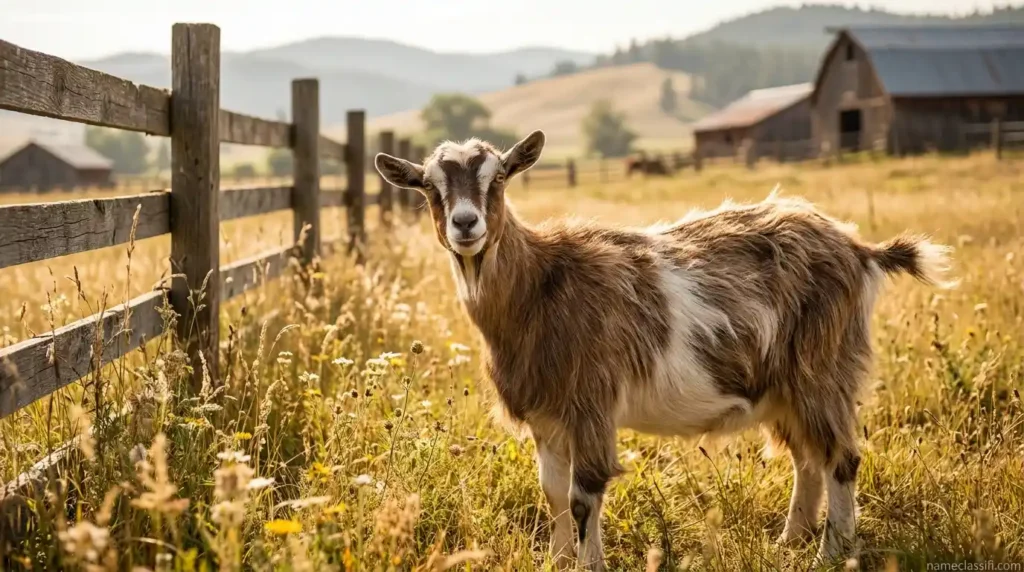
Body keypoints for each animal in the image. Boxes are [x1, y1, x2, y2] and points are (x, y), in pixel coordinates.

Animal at [375, 131, 954, 571]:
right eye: (429, 187)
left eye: (498, 179)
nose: (466, 224)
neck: (540, 286)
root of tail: (859, 248)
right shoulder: (546, 413)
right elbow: (553, 492)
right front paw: (557, 561)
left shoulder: (590, 401)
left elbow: (583, 495)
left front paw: (590, 565)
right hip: (783, 386)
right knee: (807, 459)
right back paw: (789, 541)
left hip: (822, 367)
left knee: (841, 457)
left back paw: (830, 554)